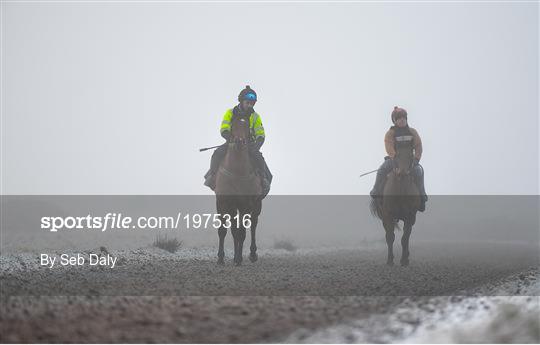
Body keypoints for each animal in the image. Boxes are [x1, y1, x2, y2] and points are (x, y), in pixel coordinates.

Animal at [216, 117, 264, 264]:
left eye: (247, 126)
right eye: (233, 125)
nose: (238, 141)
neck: (237, 171)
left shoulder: (246, 205)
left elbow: (242, 232)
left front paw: (238, 259)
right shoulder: (223, 202)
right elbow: (225, 230)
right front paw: (221, 258)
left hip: (256, 205)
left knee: (252, 226)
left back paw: (252, 254)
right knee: (234, 228)